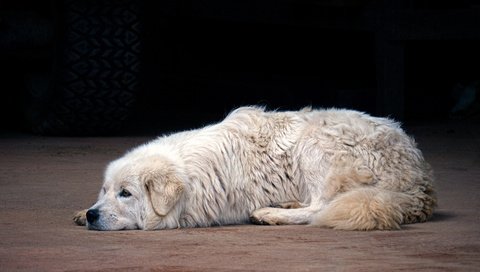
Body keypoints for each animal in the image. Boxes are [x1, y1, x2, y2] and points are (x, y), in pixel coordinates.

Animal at [73, 106, 436, 230]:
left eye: (126, 193)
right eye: (105, 191)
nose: (92, 215)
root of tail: (421, 181)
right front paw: (80, 211)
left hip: (315, 143)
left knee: (321, 206)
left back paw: (270, 214)